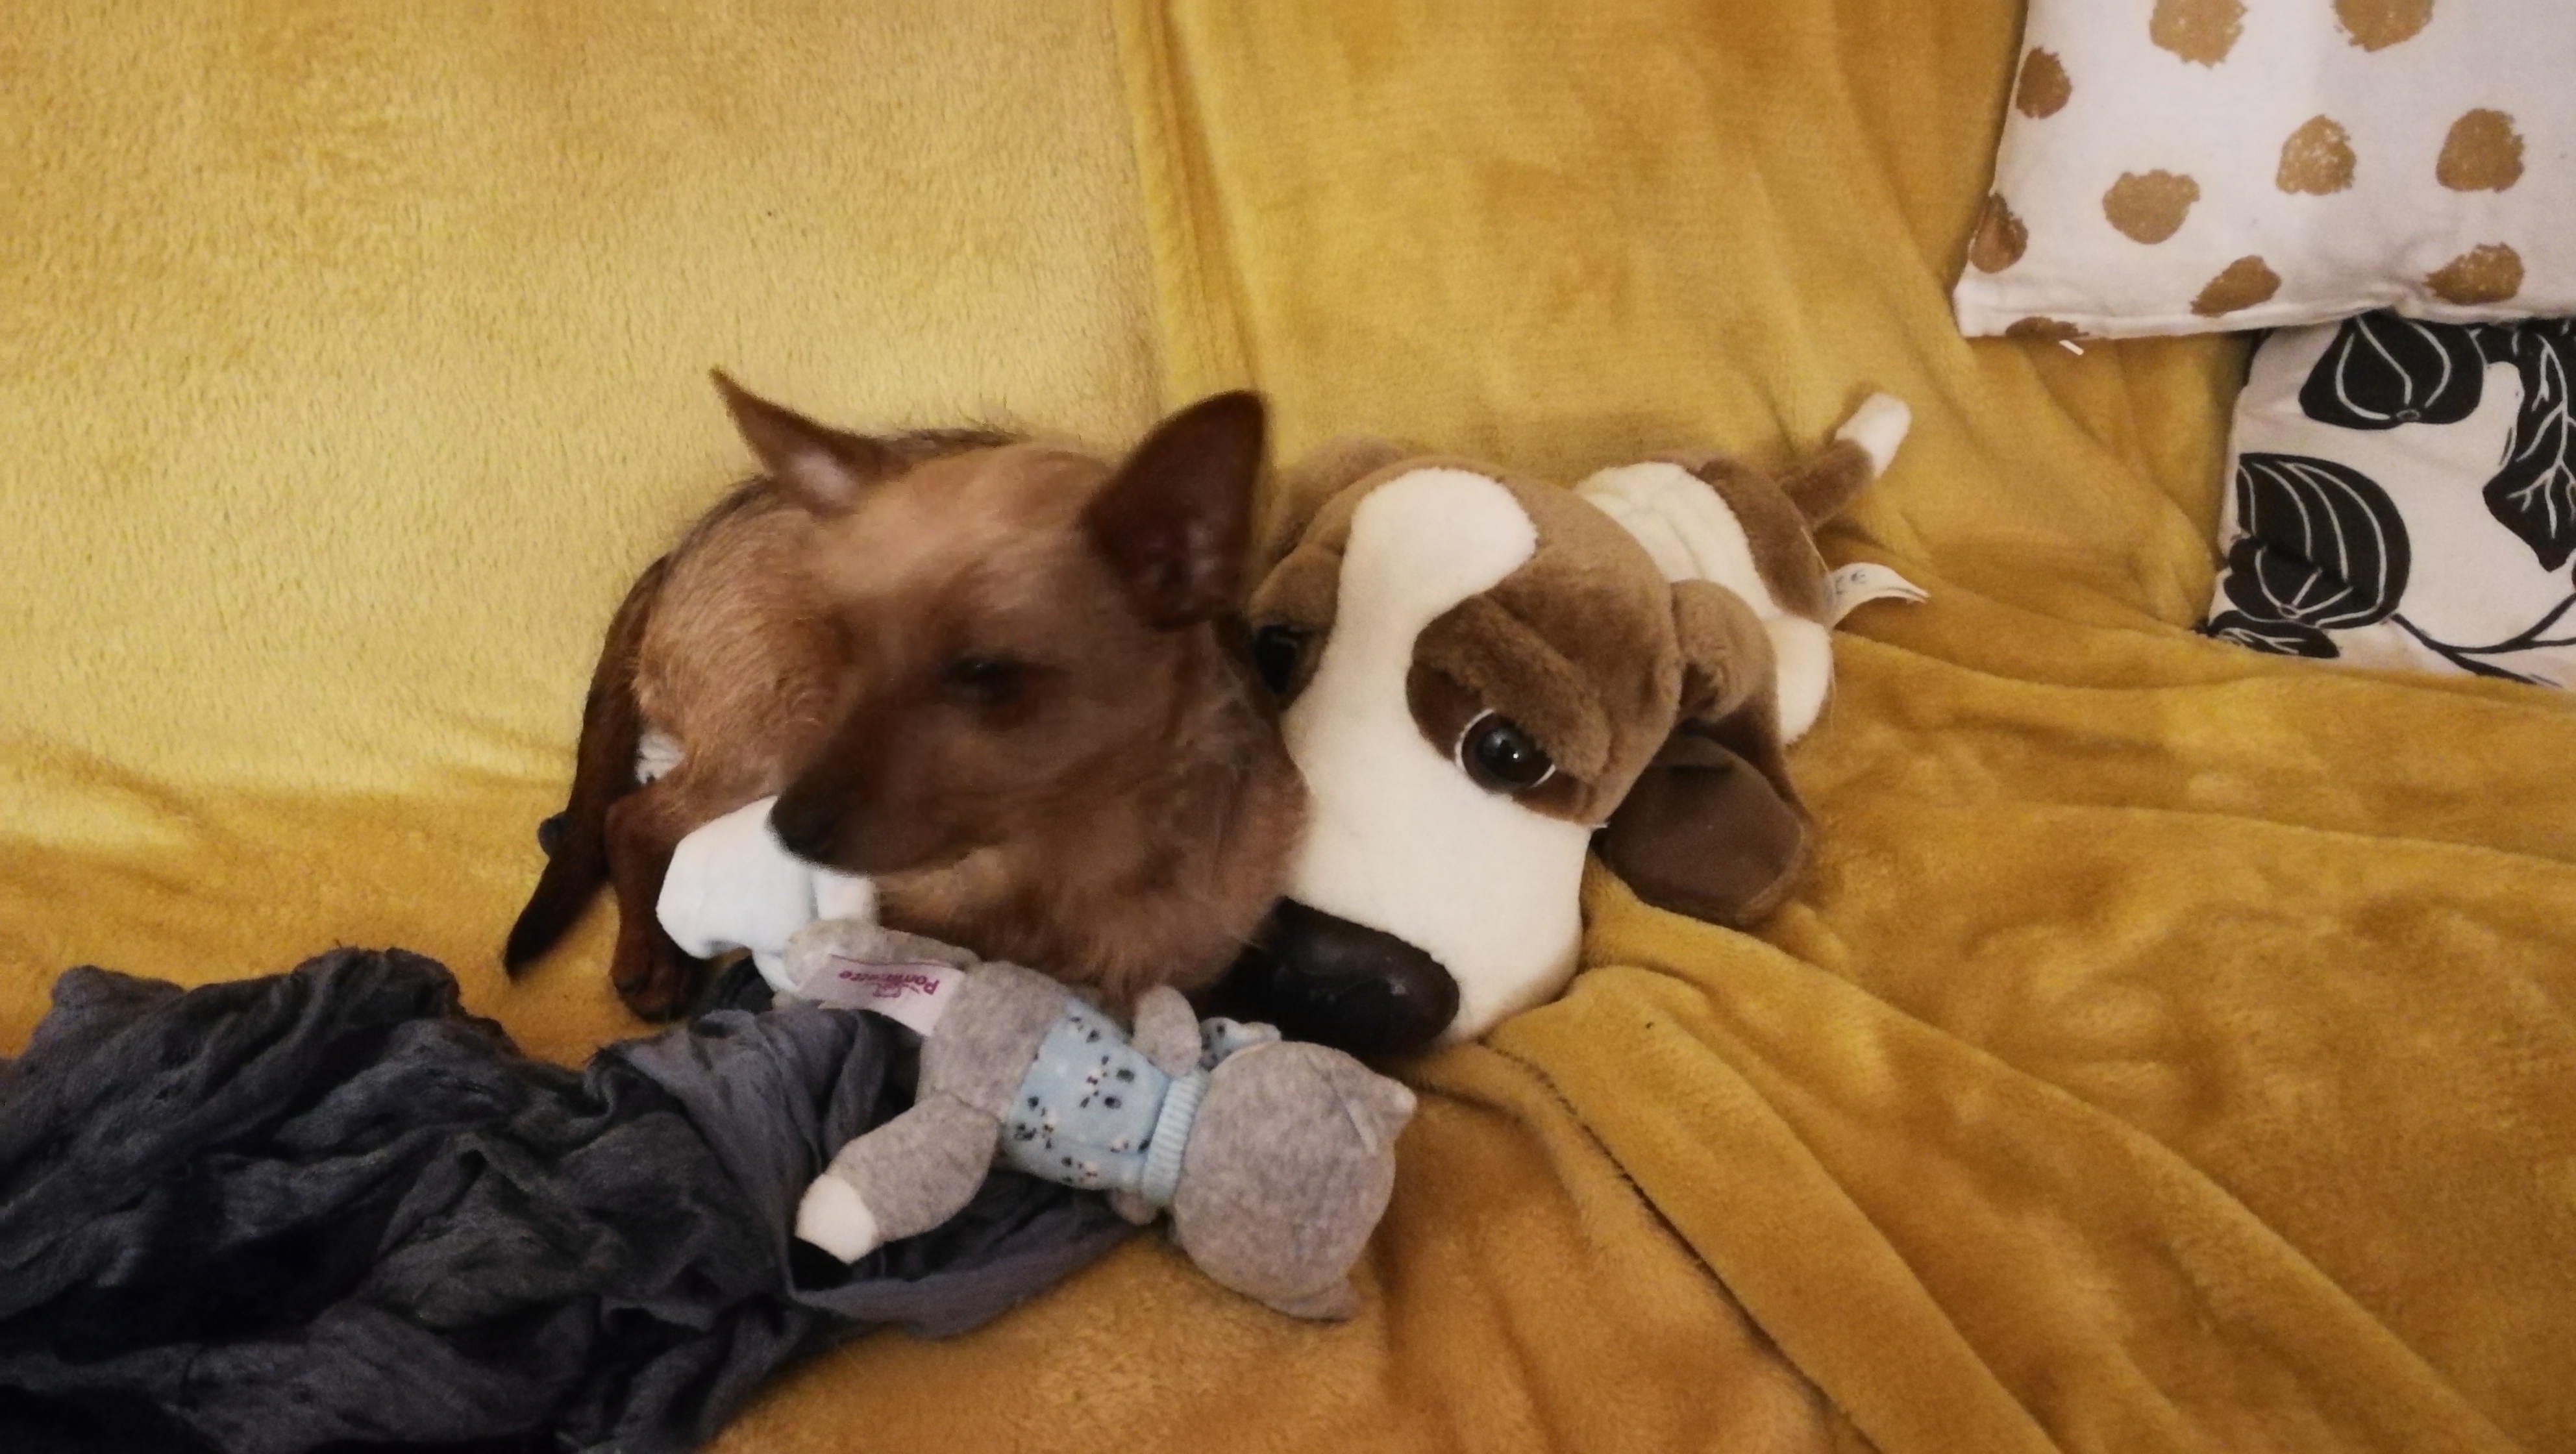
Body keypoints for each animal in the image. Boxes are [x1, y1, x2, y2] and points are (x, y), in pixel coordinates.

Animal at [505, 376, 1305, 1020]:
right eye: (845, 639)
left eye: (983, 673)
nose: (785, 831)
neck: (1053, 866)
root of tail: (675, 554)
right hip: (776, 733)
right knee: (631, 817)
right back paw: (652, 952)